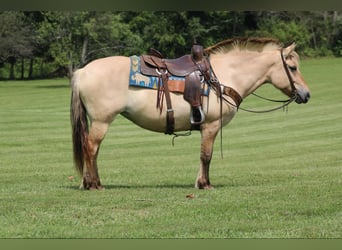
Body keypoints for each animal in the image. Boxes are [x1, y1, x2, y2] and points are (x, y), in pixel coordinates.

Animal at [69, 37, 310, 189]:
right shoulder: (211, 125)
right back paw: (93, 184)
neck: (224, 76)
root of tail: (83, 71)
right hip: (101, 121)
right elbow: (206, 155)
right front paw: (205, 184)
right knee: (91, 148)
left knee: (93, 150)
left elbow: (204, 156)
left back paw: (93, 182)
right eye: (293, 68)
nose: (306, 94)